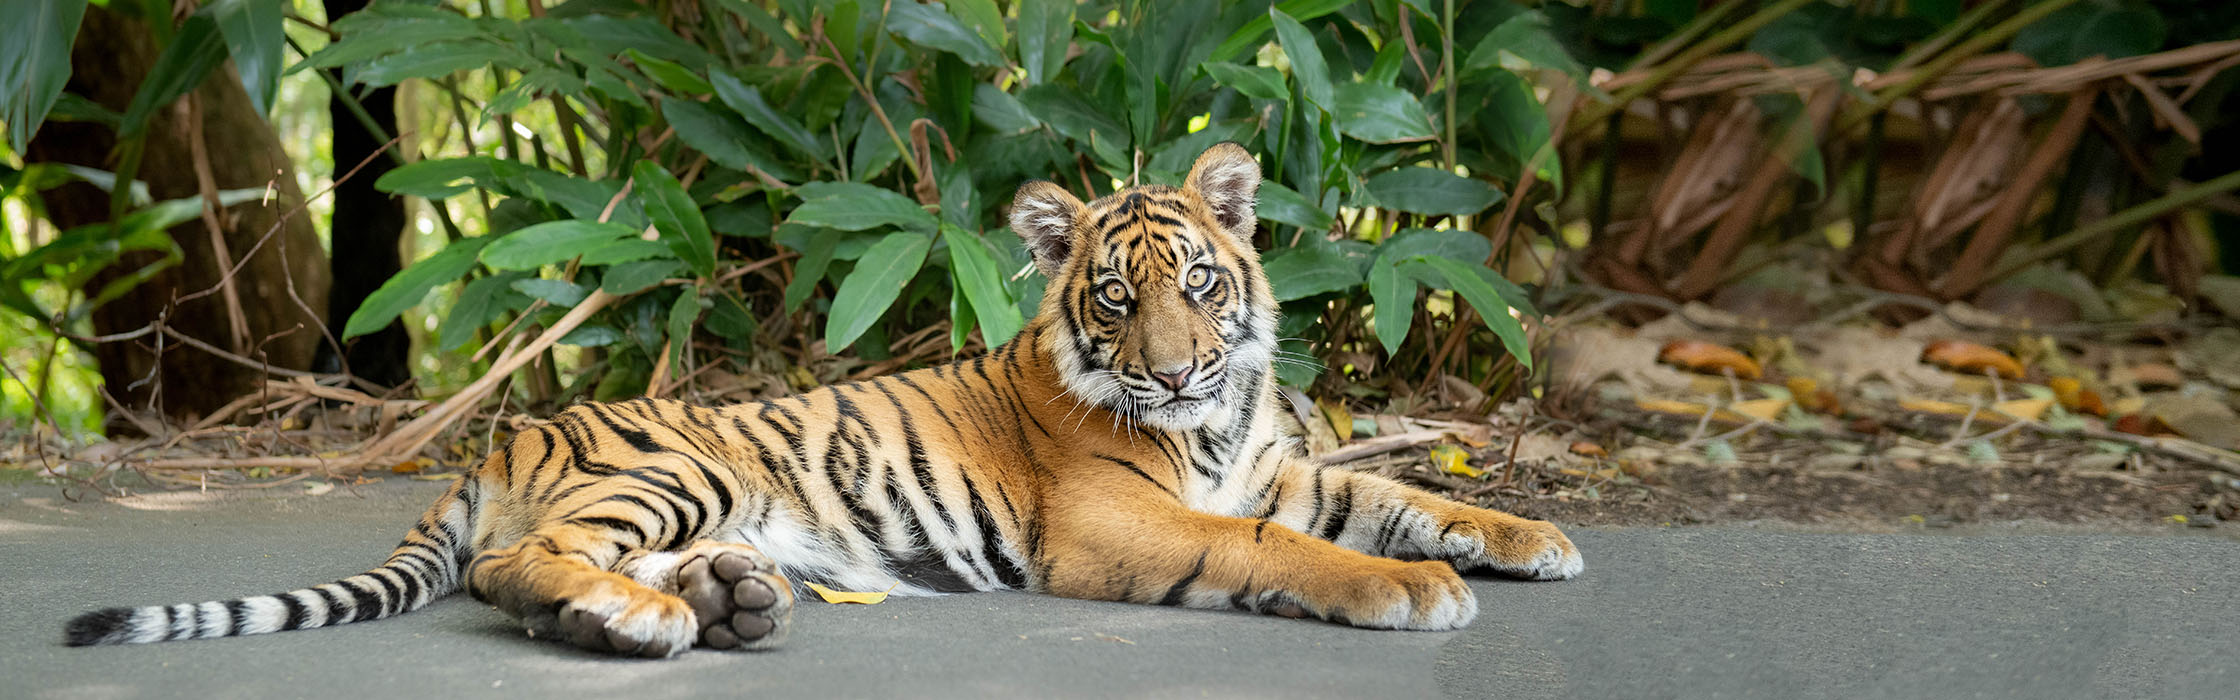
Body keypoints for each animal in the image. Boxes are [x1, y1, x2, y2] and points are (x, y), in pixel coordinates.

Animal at [64, 143, 1581, 656]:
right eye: (1112, 298)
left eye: (1202, 282)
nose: (1172, 369)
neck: (1215, 422)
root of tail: (513, 426)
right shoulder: (1121, 526)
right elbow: (1281, 550)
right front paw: (1407, 594)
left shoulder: (1279, 464)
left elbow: (1396, 489)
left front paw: (1533, 538)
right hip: (667, 469)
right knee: (512, 565)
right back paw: (639, 621)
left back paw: (725, 602)